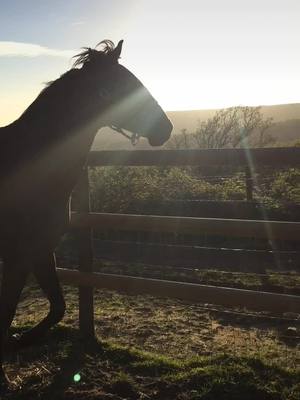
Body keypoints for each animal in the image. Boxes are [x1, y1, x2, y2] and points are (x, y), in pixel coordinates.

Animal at [0, 39, 172, 386]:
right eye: (124, 86)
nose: (166, 128)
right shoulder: (17, 256)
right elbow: (7, 312)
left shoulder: (41, 251)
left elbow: (57, 307)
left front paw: (21, 341)